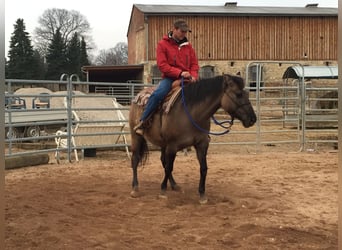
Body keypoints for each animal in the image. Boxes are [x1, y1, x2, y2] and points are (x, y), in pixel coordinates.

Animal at [128, 73, 256, 204]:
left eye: (246, 94)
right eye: (238, 94)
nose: (252, 119)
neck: (192, 113)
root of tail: (138, 95)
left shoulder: (202, 144)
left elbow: (203, 168)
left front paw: (202, 195)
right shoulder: (172, 146)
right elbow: (169, 167)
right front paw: (162, 191)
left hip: (163, 144)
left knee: (163, 160)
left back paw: (174, 185)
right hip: (136, 136)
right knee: (135, 159)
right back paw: (135, 188)